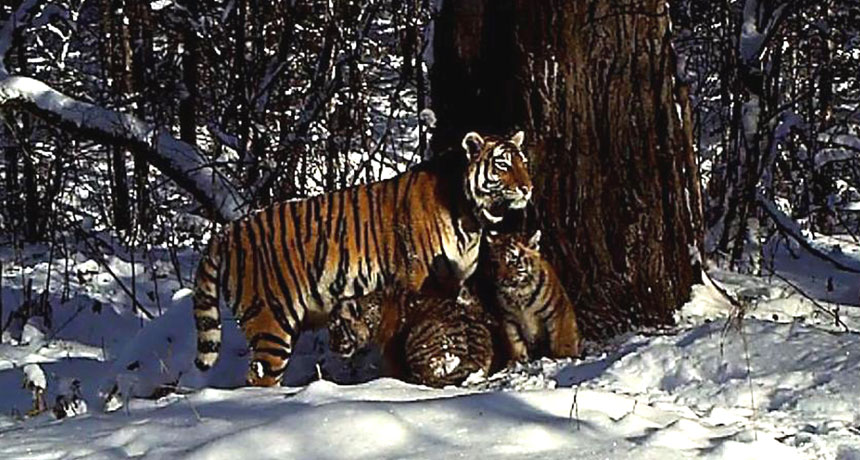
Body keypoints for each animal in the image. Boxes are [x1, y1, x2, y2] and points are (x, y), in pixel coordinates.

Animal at [482, 230, 582, 363]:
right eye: (495, 263)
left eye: (512, 262)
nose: (500, 280)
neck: (519, 294)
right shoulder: (509, 319)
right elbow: (516, 343)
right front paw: (518, 361)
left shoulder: (558, 311)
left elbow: (562, 339)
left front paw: (564, 357)